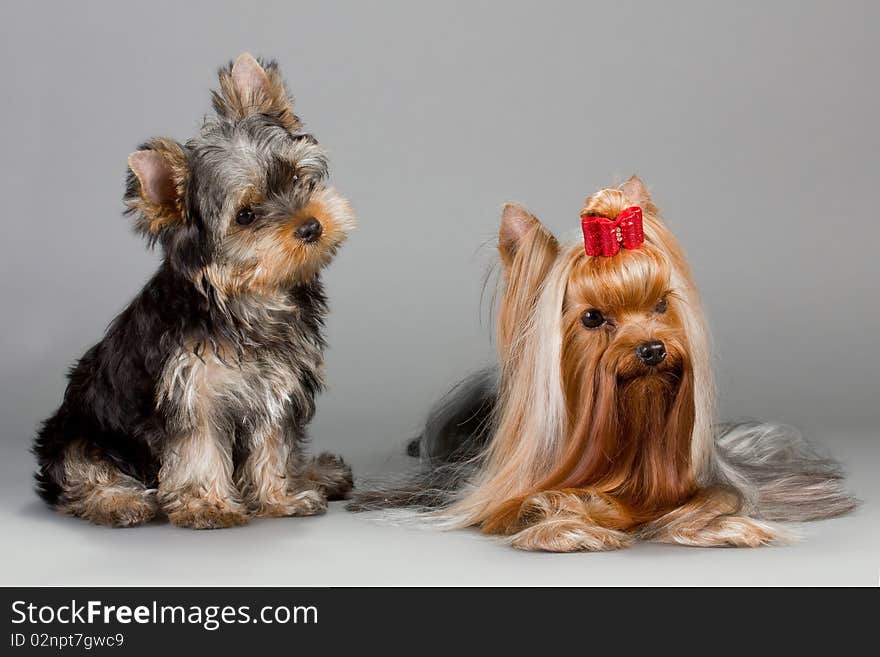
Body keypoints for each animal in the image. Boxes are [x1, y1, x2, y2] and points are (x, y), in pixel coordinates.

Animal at [33, 53, 358, 532]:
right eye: (245, 216)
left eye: (298, 177)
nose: (311, 226)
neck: (249, 296)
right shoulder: (191, 393)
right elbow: (198, 449)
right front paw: (208, 505)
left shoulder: (278, 384)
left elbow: (273, 443)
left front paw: (280, 497)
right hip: (75, 433)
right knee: (80, 474)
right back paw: (119, 501)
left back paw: (318, 473)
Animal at [348, 177, 852, 552]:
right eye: (592, 318)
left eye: (660, 305)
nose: (652, 349)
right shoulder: (498, 495)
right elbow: (537, 504)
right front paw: (573, 528)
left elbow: (716, 500)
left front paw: (732, 527)